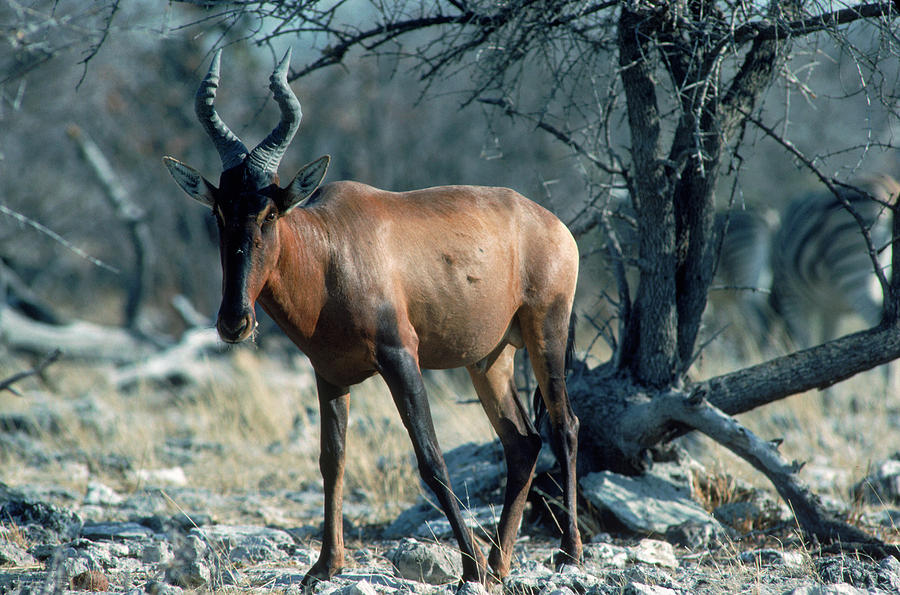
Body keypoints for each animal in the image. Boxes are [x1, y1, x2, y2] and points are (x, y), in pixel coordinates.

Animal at [162, 50, 584, 588]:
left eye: (270, 213)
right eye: (219, 211)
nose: (233, 322)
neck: (328, 245)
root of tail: (553, 224)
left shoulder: (400, 356)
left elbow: (431, 458)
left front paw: (466, 568)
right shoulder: (329, 375)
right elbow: (331, 460)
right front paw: (324, 566)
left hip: (546, 328)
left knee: (564, 424)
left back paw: (565, 554)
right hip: (490, 358)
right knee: (523, 442)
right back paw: (500, 563)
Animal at [768, 173, 900, 350]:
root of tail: (890, 188)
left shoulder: (793, 300)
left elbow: (806, 342)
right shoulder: (830, 310)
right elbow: (825, 339)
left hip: (854, 272)